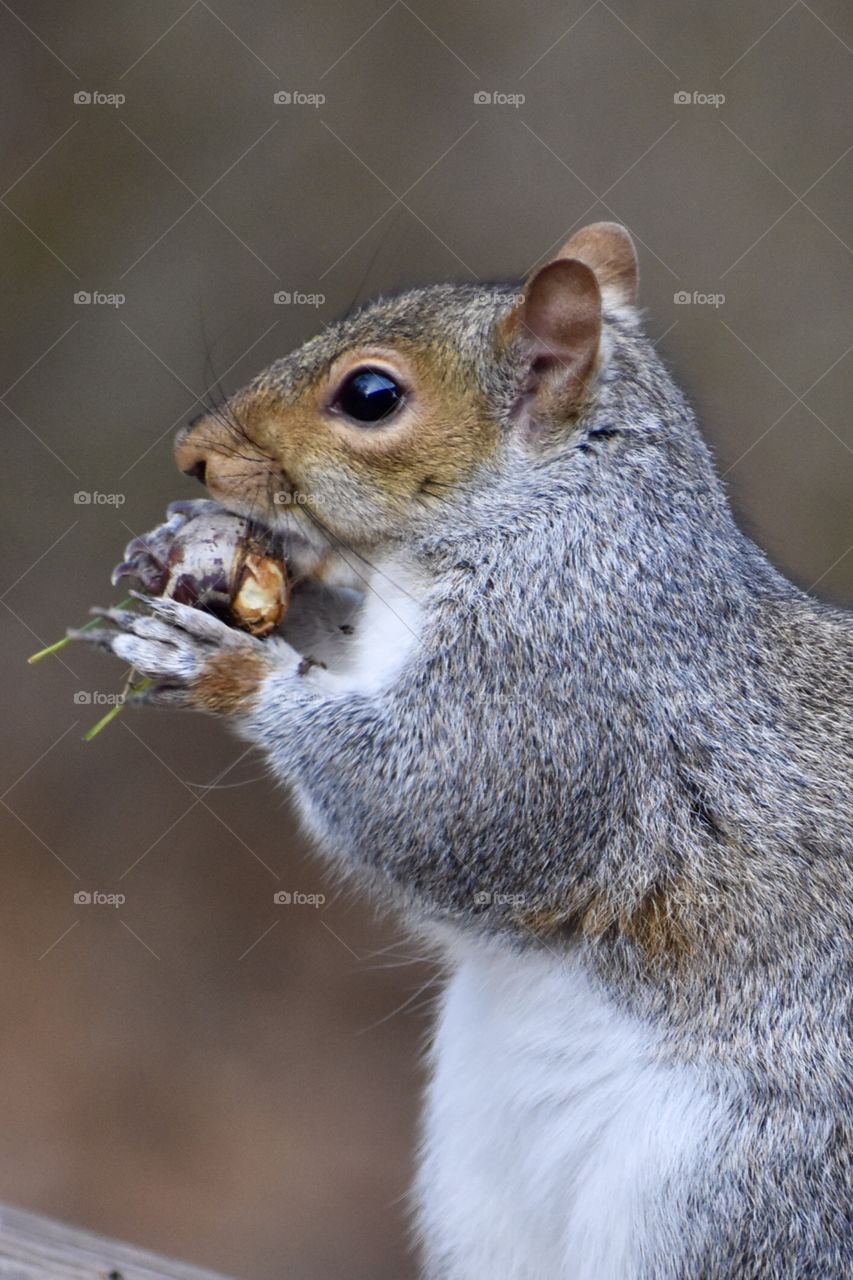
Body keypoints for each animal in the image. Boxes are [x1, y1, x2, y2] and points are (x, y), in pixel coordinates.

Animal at [76, 225, 845, 1274]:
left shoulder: (562, 685)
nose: (193, 458)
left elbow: (432, 799)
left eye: (370, 396)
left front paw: (225, 665)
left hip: (737, 1195)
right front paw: (181, 551)